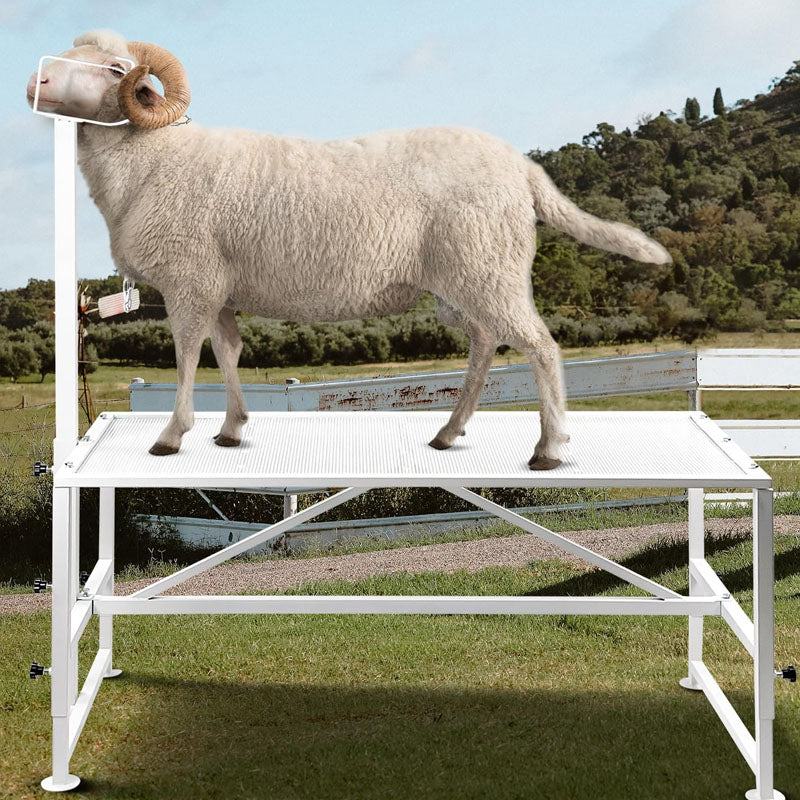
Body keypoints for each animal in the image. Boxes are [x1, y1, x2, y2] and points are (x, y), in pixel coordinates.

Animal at [28, 30, 671, 469]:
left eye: (115, 67)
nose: (36, 81)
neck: (151, 157)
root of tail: (522, 168)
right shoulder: (220, 286)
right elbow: (229, 351)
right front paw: (232, 428)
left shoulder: (191, 280)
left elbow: (188, 356)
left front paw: (170, 436)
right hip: (466, 280)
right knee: (487, 343)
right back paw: (449, 432)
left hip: (488, 269)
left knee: (540, 346)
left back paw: (549, 449)